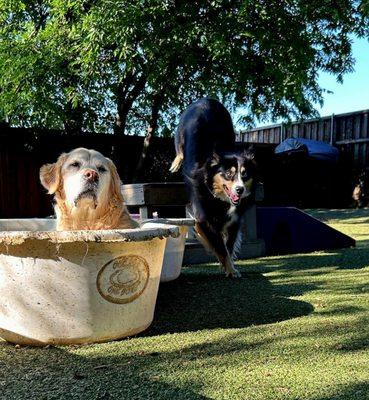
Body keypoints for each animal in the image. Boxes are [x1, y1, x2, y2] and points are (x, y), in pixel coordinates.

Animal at [170, 98, 256, 276]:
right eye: (229, 174)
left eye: (244, 174)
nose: (240, 190)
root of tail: (206, 99)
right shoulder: (203, 218)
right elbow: (220, 247)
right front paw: (230, 270)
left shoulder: (234, 220)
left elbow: (228, 246)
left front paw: (229, 267)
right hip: (180, 132)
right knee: (179, 148)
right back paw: (176, 162)